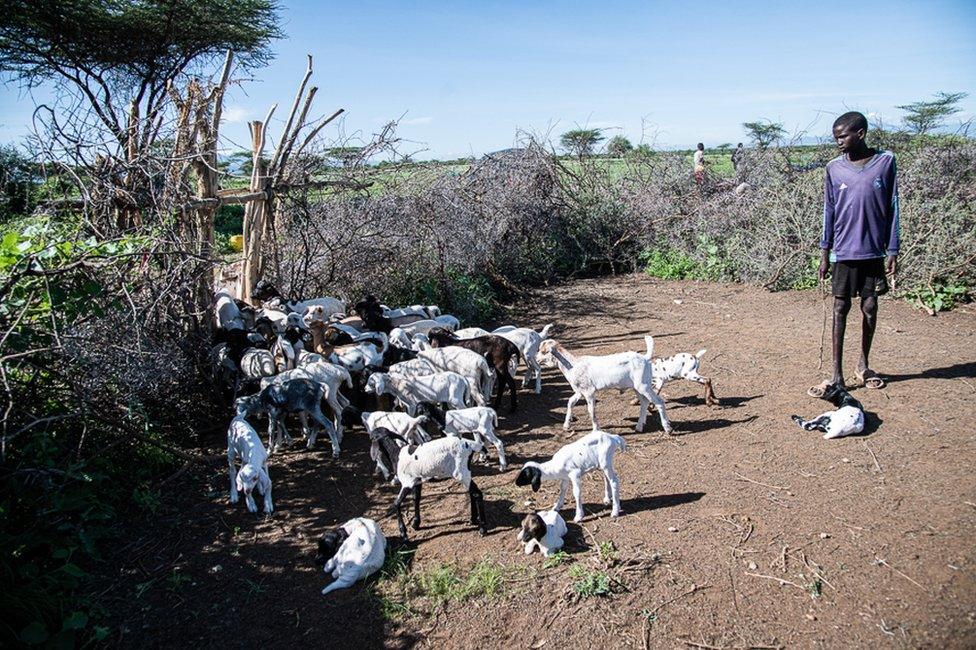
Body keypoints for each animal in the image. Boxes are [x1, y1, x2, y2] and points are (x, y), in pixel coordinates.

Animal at [536, 334, 676, 430]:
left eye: (544, 351)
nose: (536, 359)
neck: (573, 365)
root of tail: (645, 358)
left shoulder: (589, 391)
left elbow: (591, 411)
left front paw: (596, 429)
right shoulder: (579, 391)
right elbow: (570, 402)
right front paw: (566, 425)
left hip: (644, 385)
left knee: (659, 401)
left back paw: (667, 428)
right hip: (637, 387)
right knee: (645, 402)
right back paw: (639, 427)